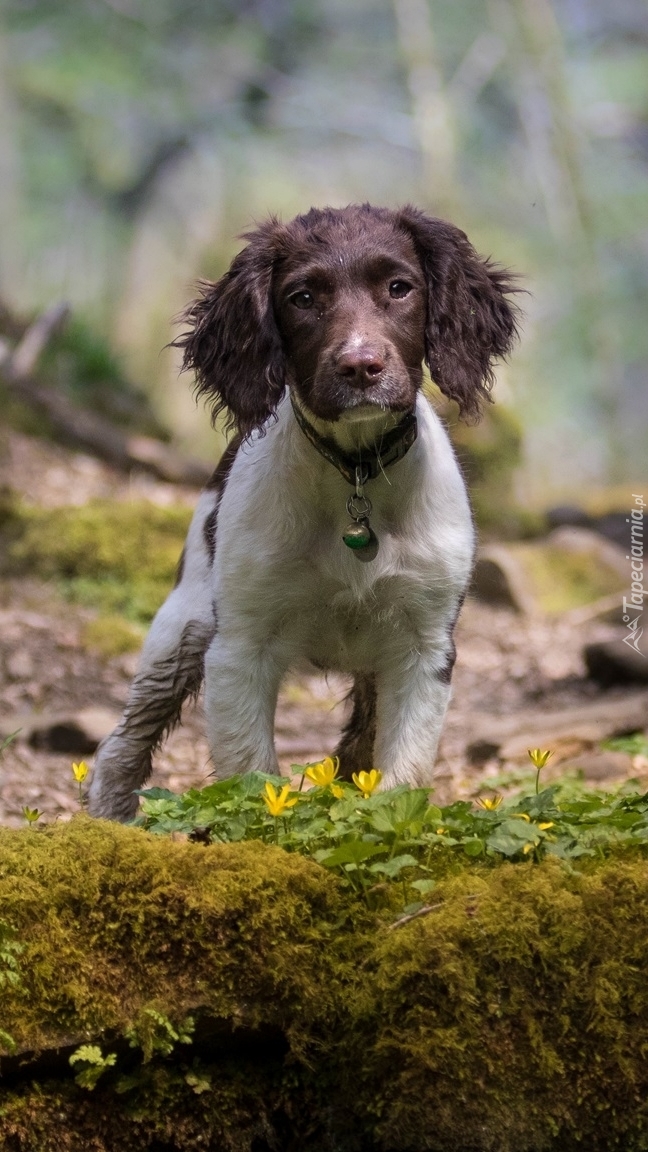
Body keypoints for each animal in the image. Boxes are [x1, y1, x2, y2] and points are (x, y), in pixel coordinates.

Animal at [88, 205, 516, 820]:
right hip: (183, 625)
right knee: (129, 732)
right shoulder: (240, 646)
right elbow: (252, 778)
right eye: (303, 297)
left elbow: (401, 776)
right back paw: (112, 810)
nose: (361, 366)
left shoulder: (425, 647)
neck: (355, 473)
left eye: (399, 288)